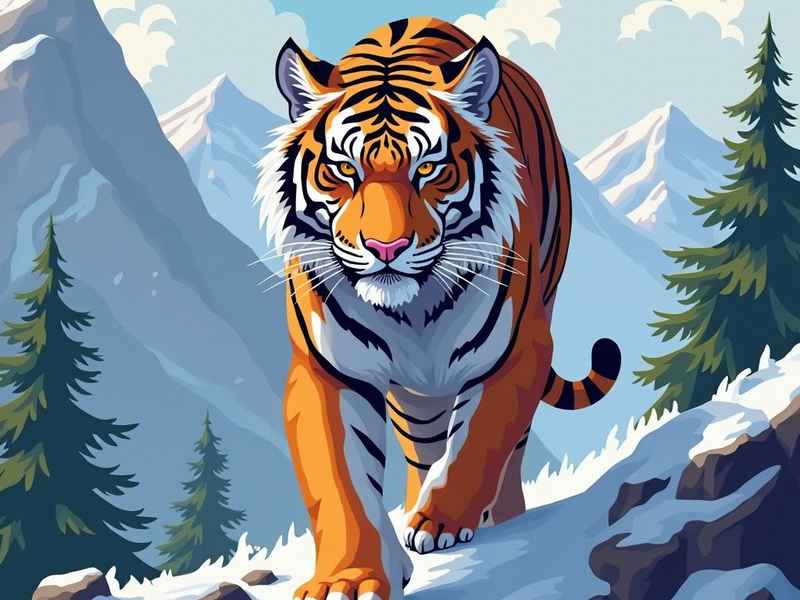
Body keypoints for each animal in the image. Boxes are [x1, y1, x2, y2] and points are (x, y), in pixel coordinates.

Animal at [256, 16, 622, 600]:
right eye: (343, 170)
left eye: (429, 169)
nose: (386, 248)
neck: (412, 312)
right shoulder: (329, 372)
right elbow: (341, 483)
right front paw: (349, 578)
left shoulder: (518, 352)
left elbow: (478, 442)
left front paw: (439, 523)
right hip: (416, 397)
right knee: (423, 443)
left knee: (507, 451)